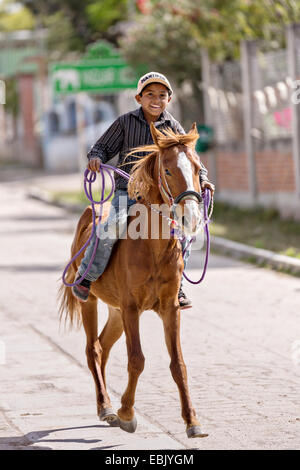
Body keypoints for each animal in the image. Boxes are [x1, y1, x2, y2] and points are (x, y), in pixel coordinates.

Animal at [59, 123, 209, 438]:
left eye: (197, 167)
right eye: (167, 170)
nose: (190, 217)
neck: (151, 246)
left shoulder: (169, 309)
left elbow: (178, 364)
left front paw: (193, 422)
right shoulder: (131, 309)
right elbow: (137, 359)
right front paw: (127, 414)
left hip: (116, 313)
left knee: (103, 347)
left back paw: (105, 407)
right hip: (91, 303)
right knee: (92, 349)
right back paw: (106, 407)